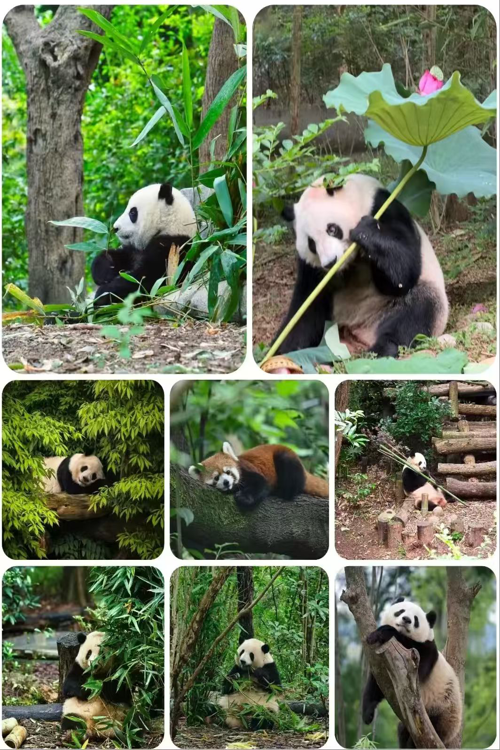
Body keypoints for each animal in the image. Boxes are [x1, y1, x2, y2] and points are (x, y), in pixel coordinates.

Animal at [276, 174, 448, 357]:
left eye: (332, 229)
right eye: (312, 244)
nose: (330, 262)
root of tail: (360, 335)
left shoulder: (383, 207)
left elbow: (402, 275)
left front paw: (365, 231)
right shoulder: (311, 269)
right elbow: (305, 307)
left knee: (417, 311)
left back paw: (381, 349)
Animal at [362, 598, 462, 748]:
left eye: (415, 619)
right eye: (400, 611)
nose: (406, 619)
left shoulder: (424, 652)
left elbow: (417, 672)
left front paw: (384, 633)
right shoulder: (382, 663)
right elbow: (376, 685)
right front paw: (367, 715)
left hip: (443, 711)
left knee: (432, 728)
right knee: (402, 730)